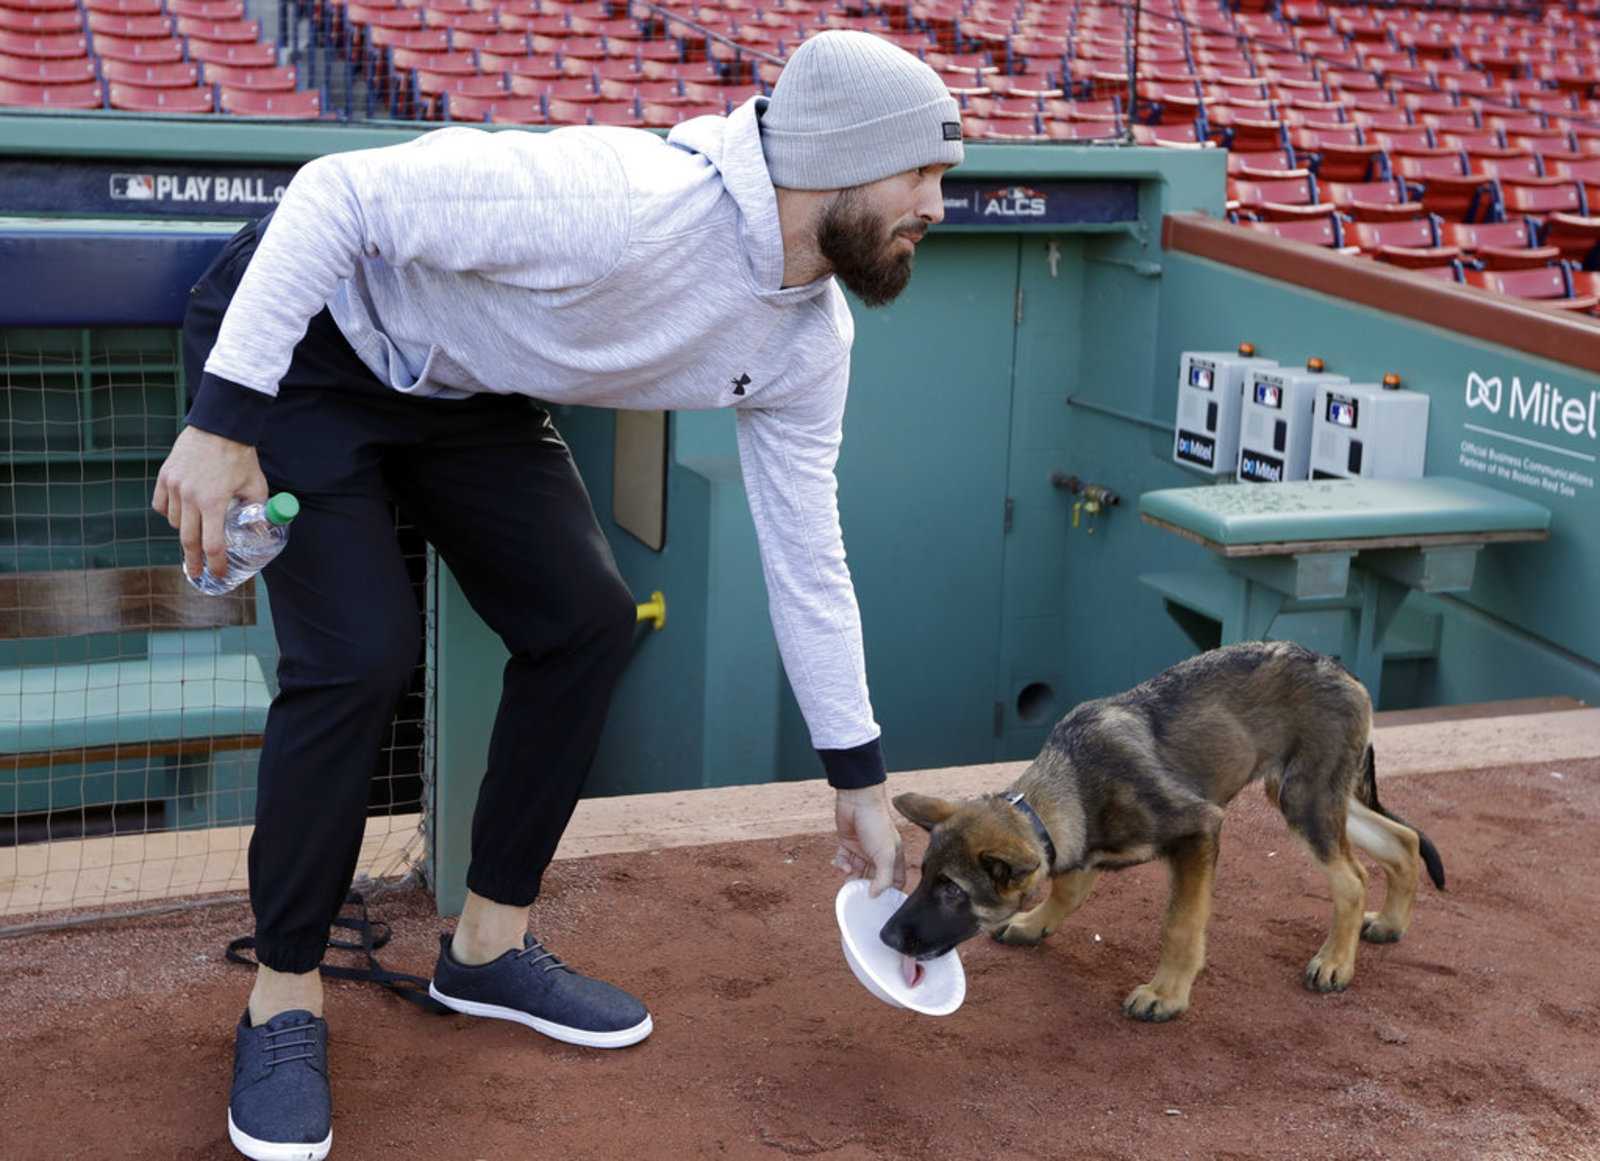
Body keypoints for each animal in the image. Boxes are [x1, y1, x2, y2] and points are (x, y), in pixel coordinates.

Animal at [883, 639, 1446, 1023]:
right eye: (923, 876)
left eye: (952, 890)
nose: (886, 936)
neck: (1068, 786)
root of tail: (1341, 668)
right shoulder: (1082, 850)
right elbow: (1066, 891)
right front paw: (1034, 923)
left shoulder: (1199, 830)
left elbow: (1180, 923)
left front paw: (1167, 994)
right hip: (1316, 794)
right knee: (1403, 841)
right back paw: (1390, 924)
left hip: (1306, 800)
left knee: (1352, 878)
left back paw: (1334, 963)